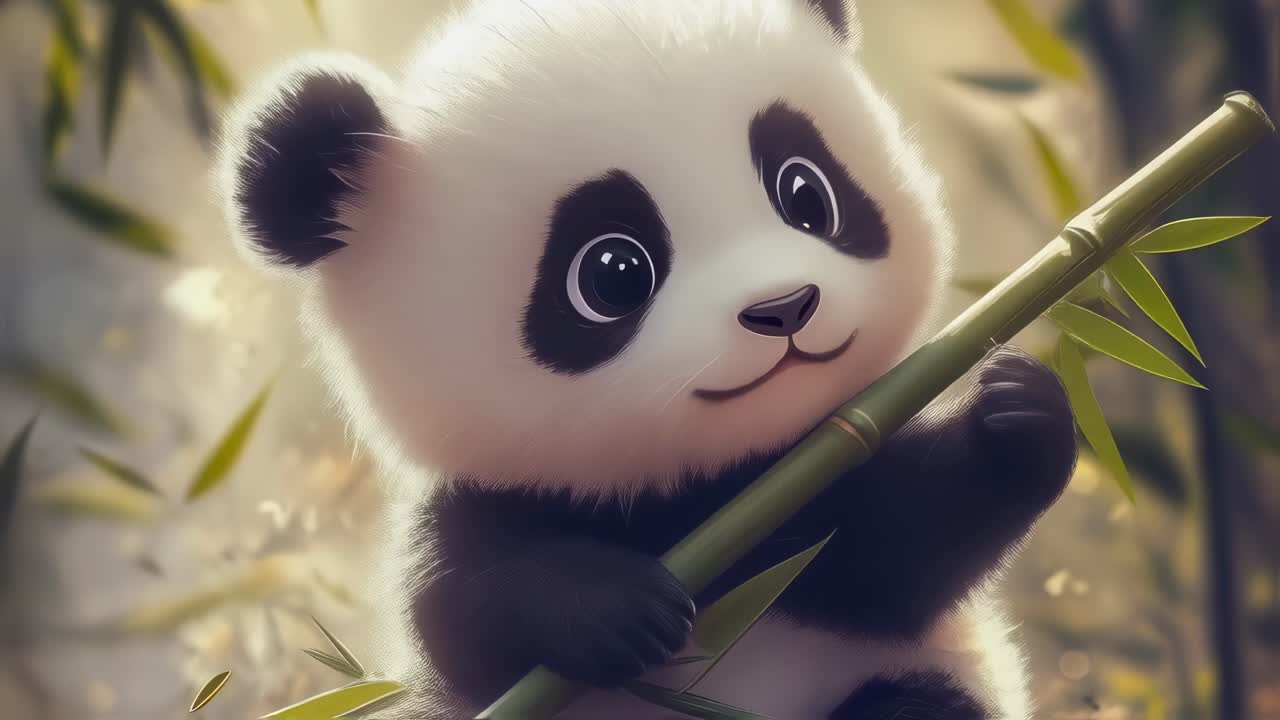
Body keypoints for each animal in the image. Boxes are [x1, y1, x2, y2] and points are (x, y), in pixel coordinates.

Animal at [216, 0, 1078, 718]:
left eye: (807, 194)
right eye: (612, 272)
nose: (784, 309)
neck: (695, 489)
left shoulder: (810, 479)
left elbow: (898, 545)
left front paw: (1017, 409)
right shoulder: (489, 502)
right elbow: (456, 608)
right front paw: (615, 609)